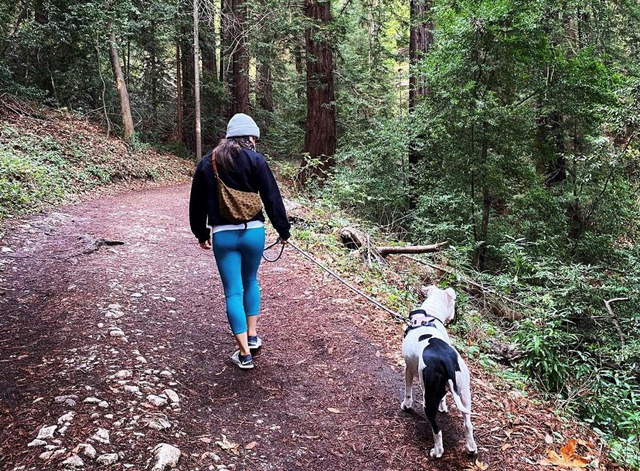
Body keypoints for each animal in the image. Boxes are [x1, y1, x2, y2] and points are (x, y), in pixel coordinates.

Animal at [400, 286, 476, 460]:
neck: (427, 317)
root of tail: (447, 361)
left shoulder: (408, 368)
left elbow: (408, 390)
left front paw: (406, 405)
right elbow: (443, 398)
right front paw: (443, 406)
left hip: (428, 398)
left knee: (437, 429)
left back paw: (437, 452)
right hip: (464, 393)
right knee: (468, 424)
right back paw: (471, 448)